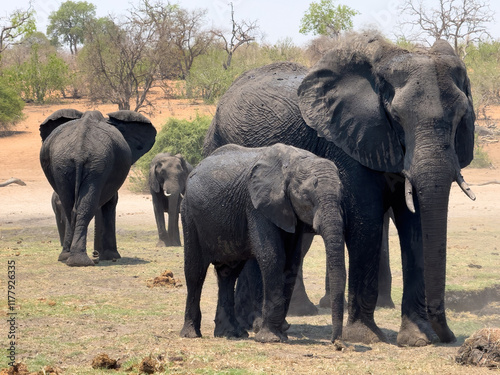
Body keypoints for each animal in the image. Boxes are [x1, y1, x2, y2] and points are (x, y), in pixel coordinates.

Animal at [39, 108, 156, 268]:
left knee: (71, 206)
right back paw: (79, 260)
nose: (96, 254)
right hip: (86, 163)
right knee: (82, 207)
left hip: (71, 163)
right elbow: (111, 202)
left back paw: (71, 259)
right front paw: (112, 256)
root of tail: (80, 150)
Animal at [181, 143, 348, 344]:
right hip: (189, 214)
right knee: (195, 272)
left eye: (341, 195)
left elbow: (291, 261)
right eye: (306, 197)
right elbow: (273, 256)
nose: (337, 343)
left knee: (228, 274)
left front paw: (281, 334)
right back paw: (191, 334)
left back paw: (231, 333)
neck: (293, 163)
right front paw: (270, 338)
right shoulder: (256, 205)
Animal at [204, 32, 476, 346]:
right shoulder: (348, 139)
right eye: (396, 116)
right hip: (217, 142)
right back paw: (252, 325)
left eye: (461, 116)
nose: (449, 337)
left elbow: (416, 223)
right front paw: (366, 337)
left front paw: (418, 338)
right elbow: (366, 219)